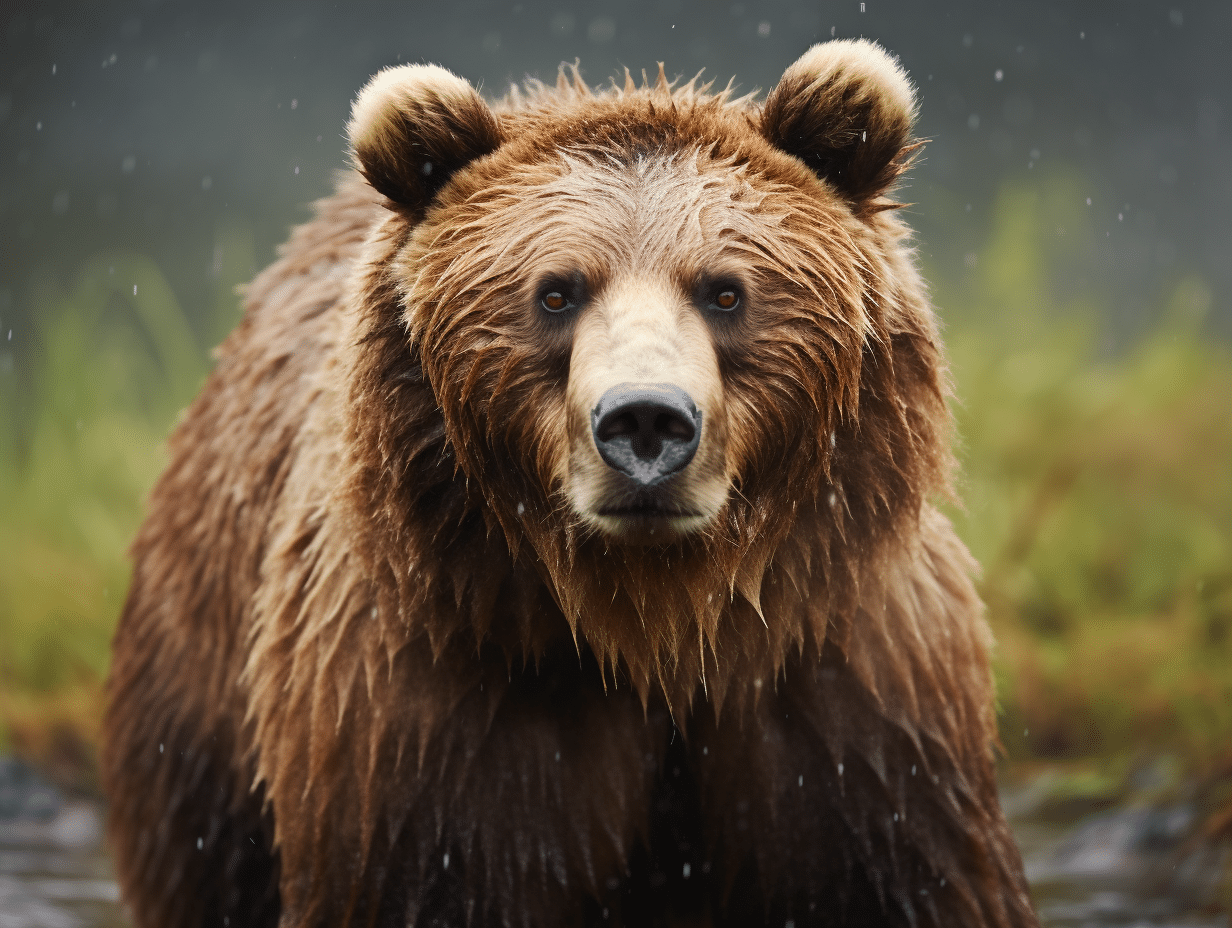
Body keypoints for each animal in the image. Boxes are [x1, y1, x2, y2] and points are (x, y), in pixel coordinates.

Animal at [103, 39, 1039, 928]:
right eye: (555, 293)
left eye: (726, 292)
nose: (646, 422)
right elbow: (421, 876)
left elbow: (908, 874)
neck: (652, 623)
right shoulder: (429, 713)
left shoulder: (849, 693)